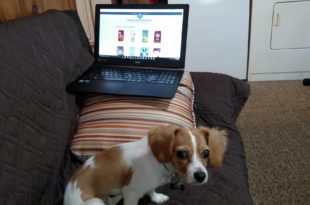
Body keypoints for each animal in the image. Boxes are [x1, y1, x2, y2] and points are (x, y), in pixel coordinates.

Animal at [63, 125, 228, 205]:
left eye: (206, 153)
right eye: (181, 154)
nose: (201, 176)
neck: (160, 164)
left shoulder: (148, 184)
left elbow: (151, 190)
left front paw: (156, 198)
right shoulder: (131, 193)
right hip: (94, 203)